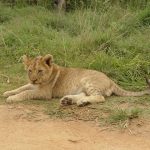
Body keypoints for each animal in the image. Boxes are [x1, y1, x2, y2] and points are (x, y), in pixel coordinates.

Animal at [3, 54, 150, 106]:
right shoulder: (32, 85)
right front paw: (7, 92)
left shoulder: (44, 93)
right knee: (84, 94)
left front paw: (11, 98)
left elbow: (25, 92)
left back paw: (80, 102)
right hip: (83, 86)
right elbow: (21, 88)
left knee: (100, 97)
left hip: (87, 80)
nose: (33, 80)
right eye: (29, 70)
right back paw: (69, 100)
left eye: (40, 71)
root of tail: (111, 80)